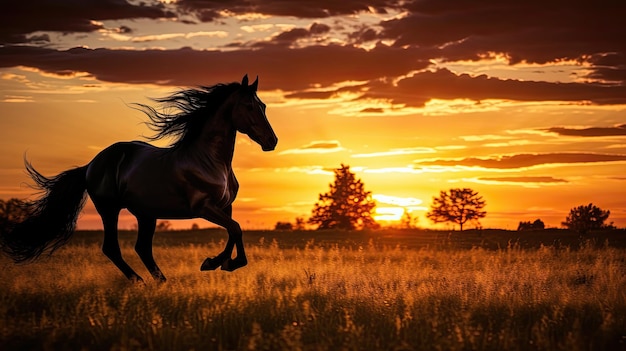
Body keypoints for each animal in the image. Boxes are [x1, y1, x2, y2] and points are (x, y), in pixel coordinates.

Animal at [0, 74, 278, 284]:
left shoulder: (225, 206)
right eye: (250, 106)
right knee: (112, 248)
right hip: (109, 209)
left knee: (142, 248)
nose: (272, 141)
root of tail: (91, 165)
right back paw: (139, 282)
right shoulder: (203, 207)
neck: (209, 160)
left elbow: (234, 231)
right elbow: (236, 229)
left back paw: (162, 282)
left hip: (146, 214)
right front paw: (216, 263)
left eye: (263, 106)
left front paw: (221, 262)